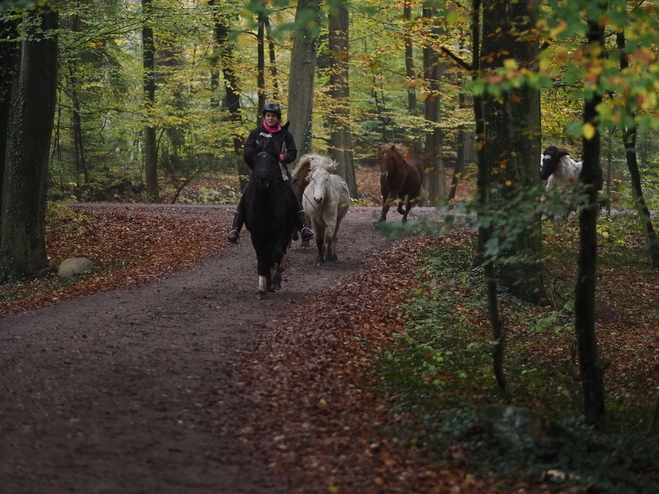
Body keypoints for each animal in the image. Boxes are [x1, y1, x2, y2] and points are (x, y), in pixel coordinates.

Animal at [242, 151, 294, 298]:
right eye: (255, 161)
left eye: (272, 161)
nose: (263, 178)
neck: (266, 206)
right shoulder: (257, 237)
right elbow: (262, 261)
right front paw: (261, 289)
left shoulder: (282, 234)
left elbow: (277, 255)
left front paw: (278, 274)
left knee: (276, 254)